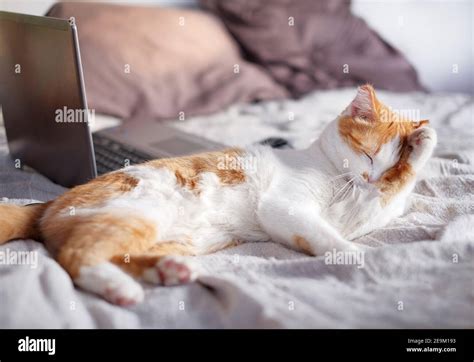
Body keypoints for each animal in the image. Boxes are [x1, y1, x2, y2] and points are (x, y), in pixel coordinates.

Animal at [0, 85, 436, 306]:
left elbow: (385, 200)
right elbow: (330, 235)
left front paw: (418, 146)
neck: (335, 172)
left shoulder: (352, 211)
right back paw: (119, 289)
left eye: (387, 167)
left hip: (172, 236)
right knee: (77, 257)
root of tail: (50, 202)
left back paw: (168, 271)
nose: (371, 177)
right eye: (368, 154)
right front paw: (358, 256)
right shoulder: (290, 207)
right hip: (139, 212)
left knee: (115, 254)